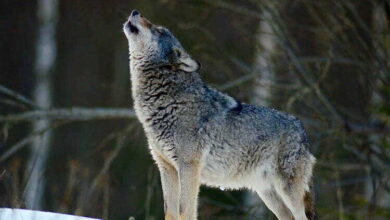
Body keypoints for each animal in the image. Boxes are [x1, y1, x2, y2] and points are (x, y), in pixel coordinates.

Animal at [123, 9, 316, 219]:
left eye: (157, 30)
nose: (135, 11)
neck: (167, 101)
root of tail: (301, 128)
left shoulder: (189, 166)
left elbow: (185, 210)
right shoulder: (166, 167)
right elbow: (171, 212)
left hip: (287, 190)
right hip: (268, 194)